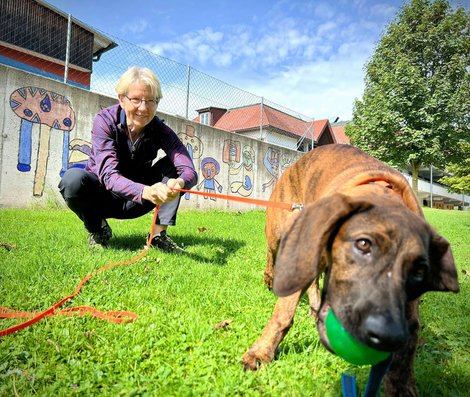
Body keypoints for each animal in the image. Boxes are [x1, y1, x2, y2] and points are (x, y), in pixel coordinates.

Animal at [242, 144, 458, 394]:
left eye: (419, 272)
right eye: (363, 244)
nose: (385, 334)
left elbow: (406, 350)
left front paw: (401, 385)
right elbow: (283, 314)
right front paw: (261, 352)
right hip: (280, 230)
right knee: (272, 252)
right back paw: (270, 278)